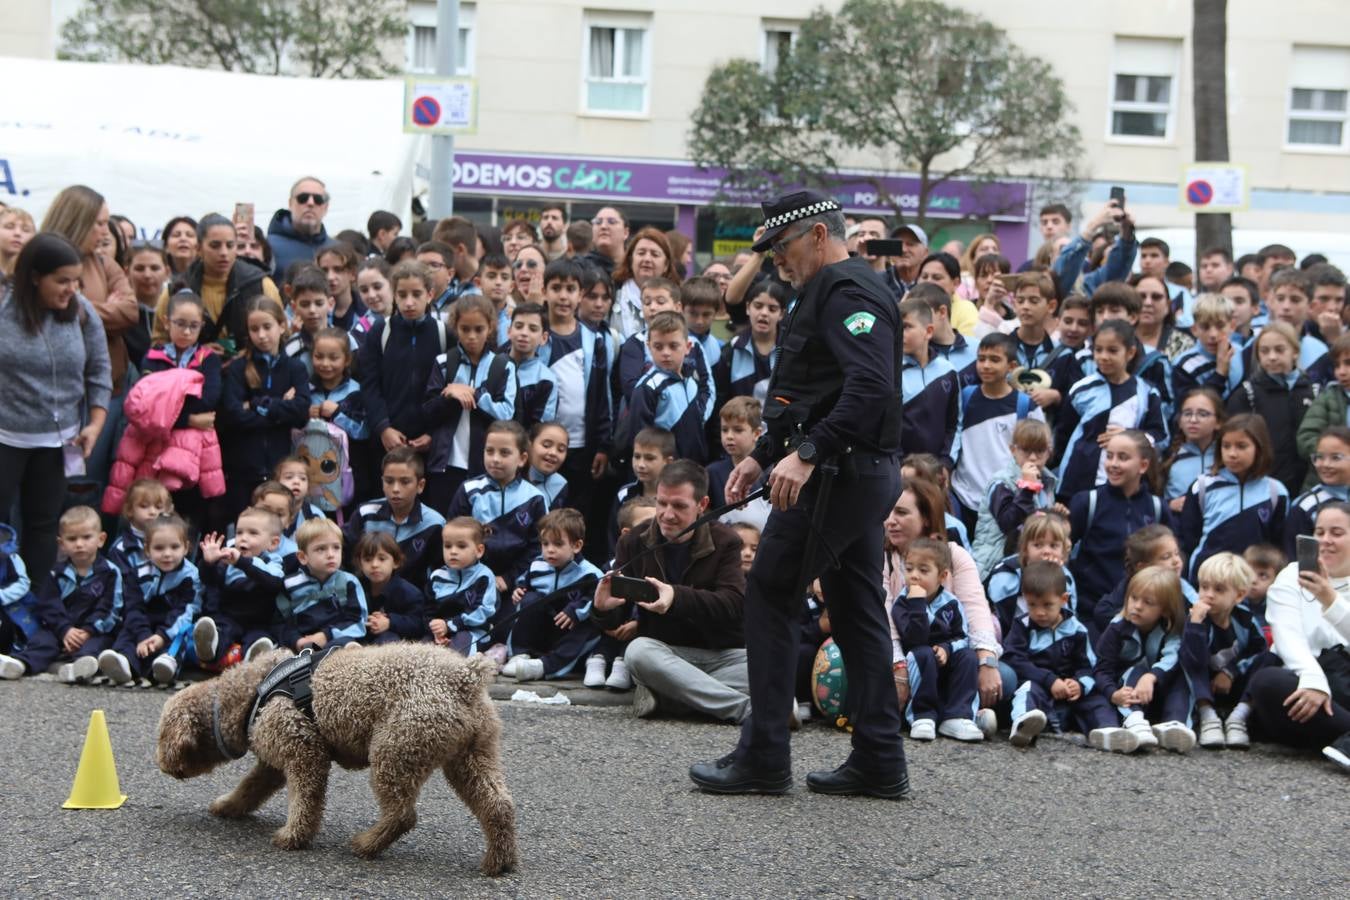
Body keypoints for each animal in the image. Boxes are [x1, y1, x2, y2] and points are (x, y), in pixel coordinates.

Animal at [154, 644, 515, 874]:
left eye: (160, 736)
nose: (160, 765)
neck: (249, 694)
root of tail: (465, 677)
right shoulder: (274, 762)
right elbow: (251, 787)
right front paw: (228, 806)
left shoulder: (303, 750)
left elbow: (305, 800)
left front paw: (292, 837)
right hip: (471, 755)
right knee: (498, 806)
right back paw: (499, 861)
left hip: (397, 749)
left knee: (402, 815)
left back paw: (367, 844)